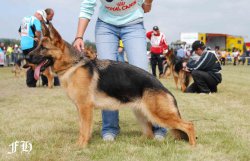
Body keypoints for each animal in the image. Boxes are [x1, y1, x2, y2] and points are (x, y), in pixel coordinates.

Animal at [29, 22, 196, 147]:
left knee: (188, 125)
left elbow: (84, 129)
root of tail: (163, 87)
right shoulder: (80, 109)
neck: (72, 65)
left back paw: (192, 145)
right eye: (37, 46)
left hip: (159, 114)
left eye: (43, 48)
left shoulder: (85, 108)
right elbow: (82, 128)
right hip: (141, 112)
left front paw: (81, 146)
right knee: (149, 132)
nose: (26, 57)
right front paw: (80, 144)